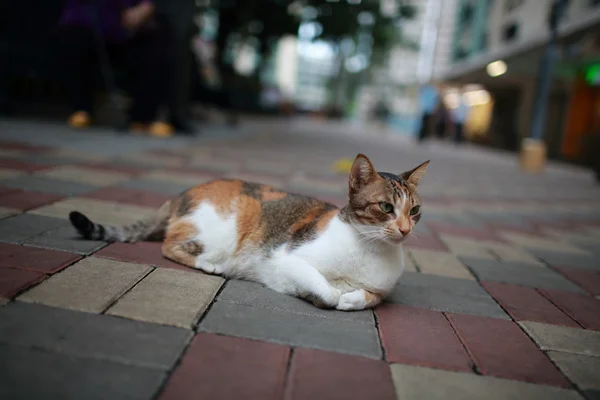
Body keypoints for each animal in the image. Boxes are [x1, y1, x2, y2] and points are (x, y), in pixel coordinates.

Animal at [69, 155, 426, 310]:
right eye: (385, 207)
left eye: (414, 211)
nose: (405, 229)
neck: (369, 248)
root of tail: (184, 192)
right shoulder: (288, 258)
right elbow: (325, 291)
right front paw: (321, 294)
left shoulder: (380, 289)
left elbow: (368, 299)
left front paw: (350, 297)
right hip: (222, 229)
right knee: (169, 245)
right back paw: (211, 264)